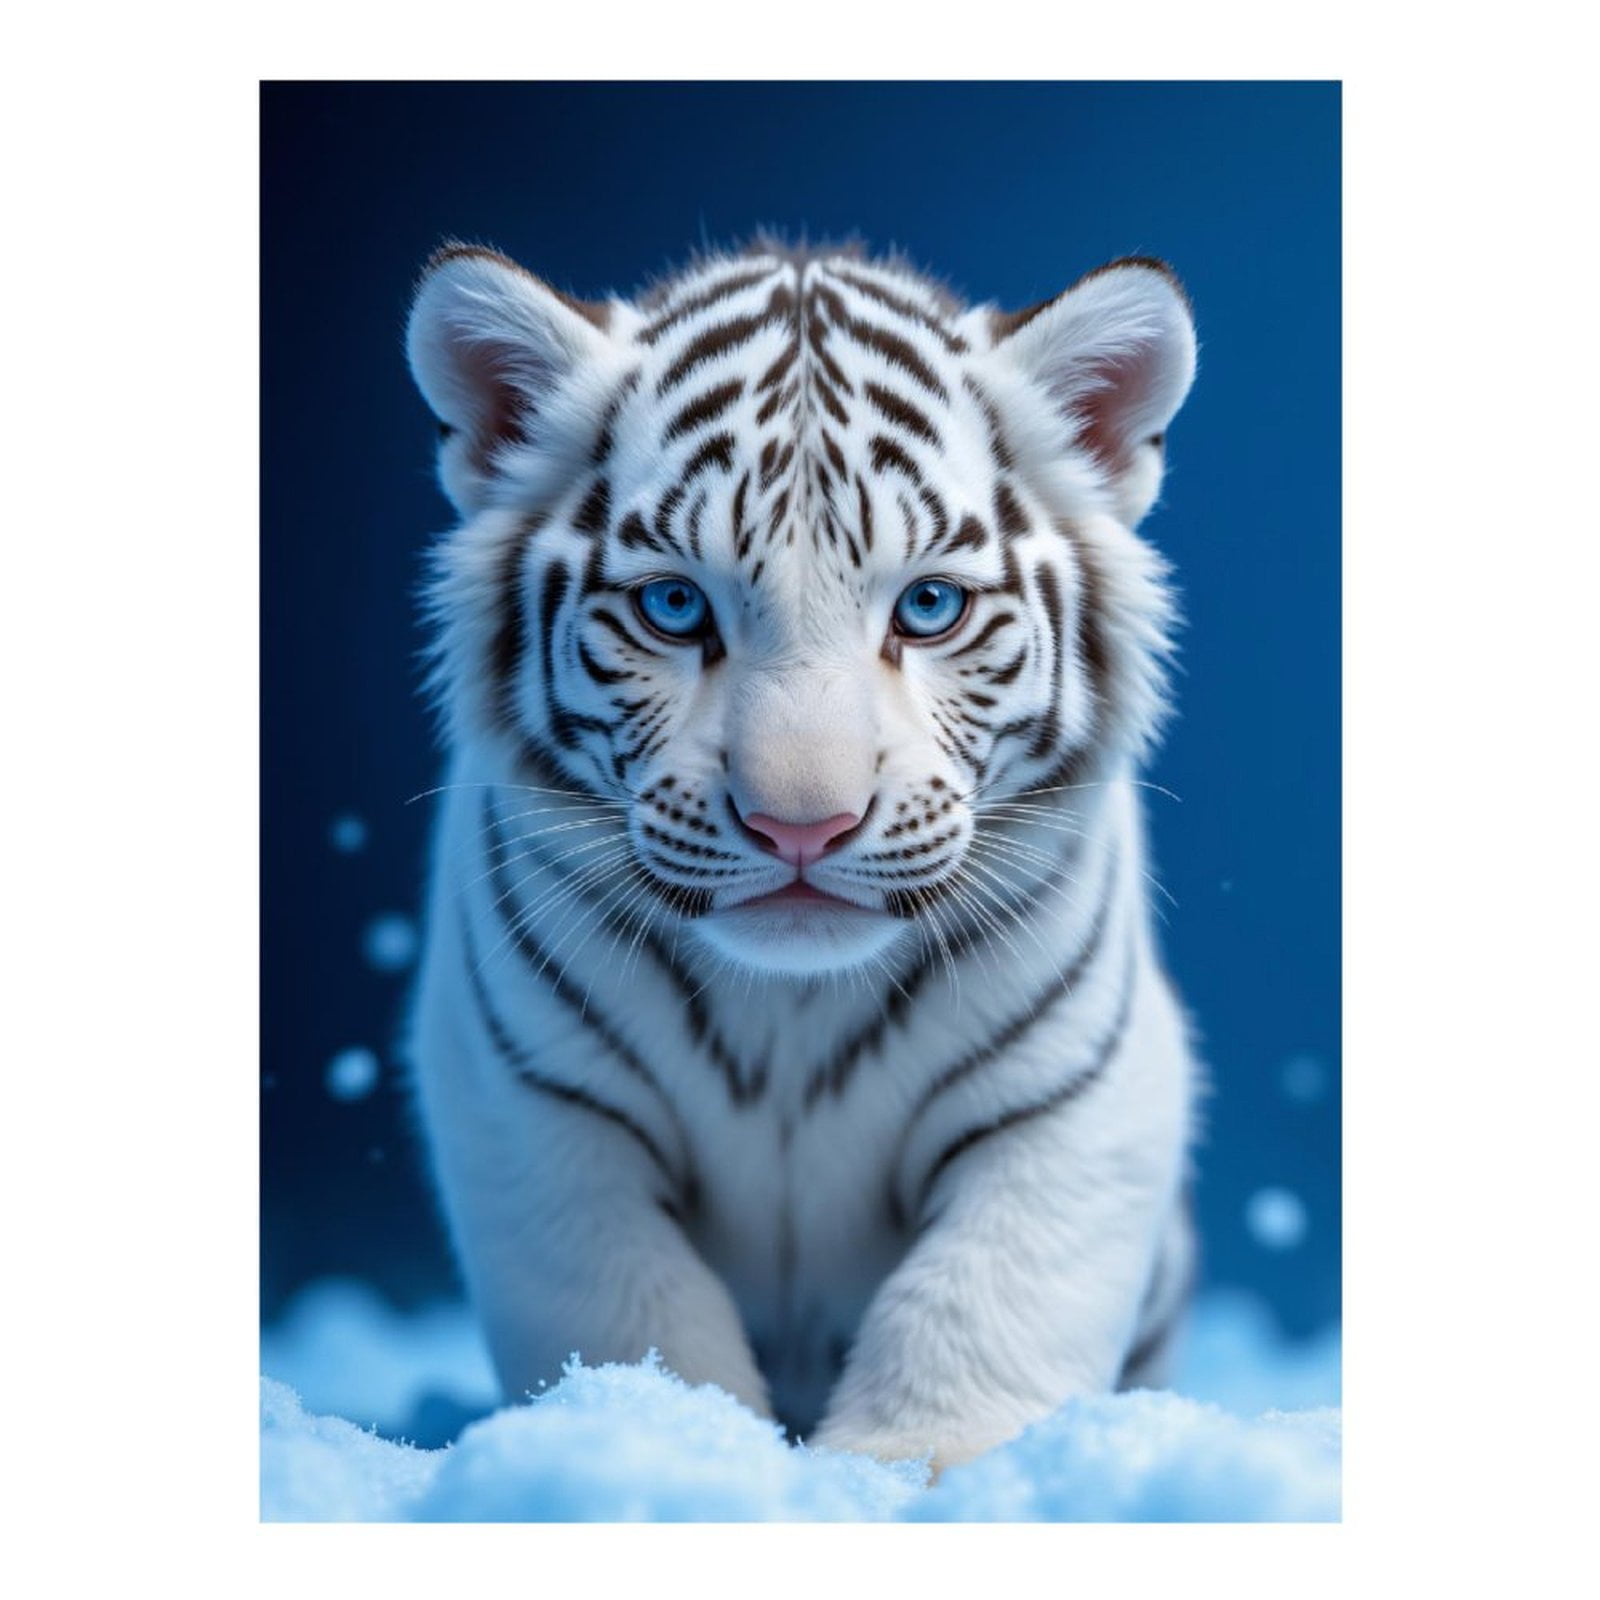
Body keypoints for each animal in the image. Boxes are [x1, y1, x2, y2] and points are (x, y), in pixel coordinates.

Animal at [403, 236, 1199, 1473]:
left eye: (928, 606)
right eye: (675, 607)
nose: (801, 826)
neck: (791, 1014)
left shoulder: (1077, 1087)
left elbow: (984, 1291)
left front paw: (924, 1458)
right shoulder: (527, 1094)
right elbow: (624, 1300)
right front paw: (659, 1438)